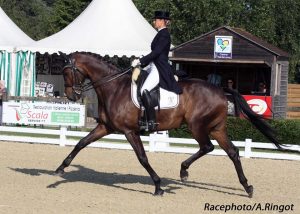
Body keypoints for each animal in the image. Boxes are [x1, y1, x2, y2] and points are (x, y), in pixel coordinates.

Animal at [55, 52, 288, 197]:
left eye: (67, 72)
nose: (71, 96)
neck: (113, 87)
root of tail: (221, 90)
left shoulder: (130, 131)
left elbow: (142, 157)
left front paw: (158, 186)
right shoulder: (106, 127)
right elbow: (81, 143)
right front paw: (60, 168)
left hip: (197, 126)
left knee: (207, 147)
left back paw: (184, 171)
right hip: (217, 128)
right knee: (232, 152)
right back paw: (247, 187)